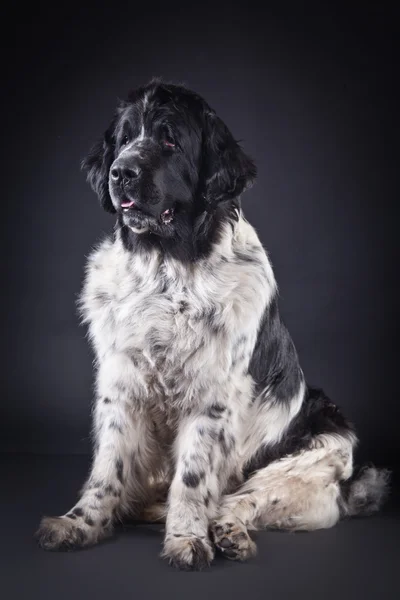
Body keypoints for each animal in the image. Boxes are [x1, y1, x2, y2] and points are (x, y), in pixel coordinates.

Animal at [35, 78, 390, 568]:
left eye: (170, 141)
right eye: (124, 140)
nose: (121, 172)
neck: (167, 270)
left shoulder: (213, 396)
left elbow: (193, 477)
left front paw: (187, 539)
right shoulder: (121, 385)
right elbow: (108, 468)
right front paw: (80, 523)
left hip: (321, 446)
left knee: (236, 500)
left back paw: (227, 533)